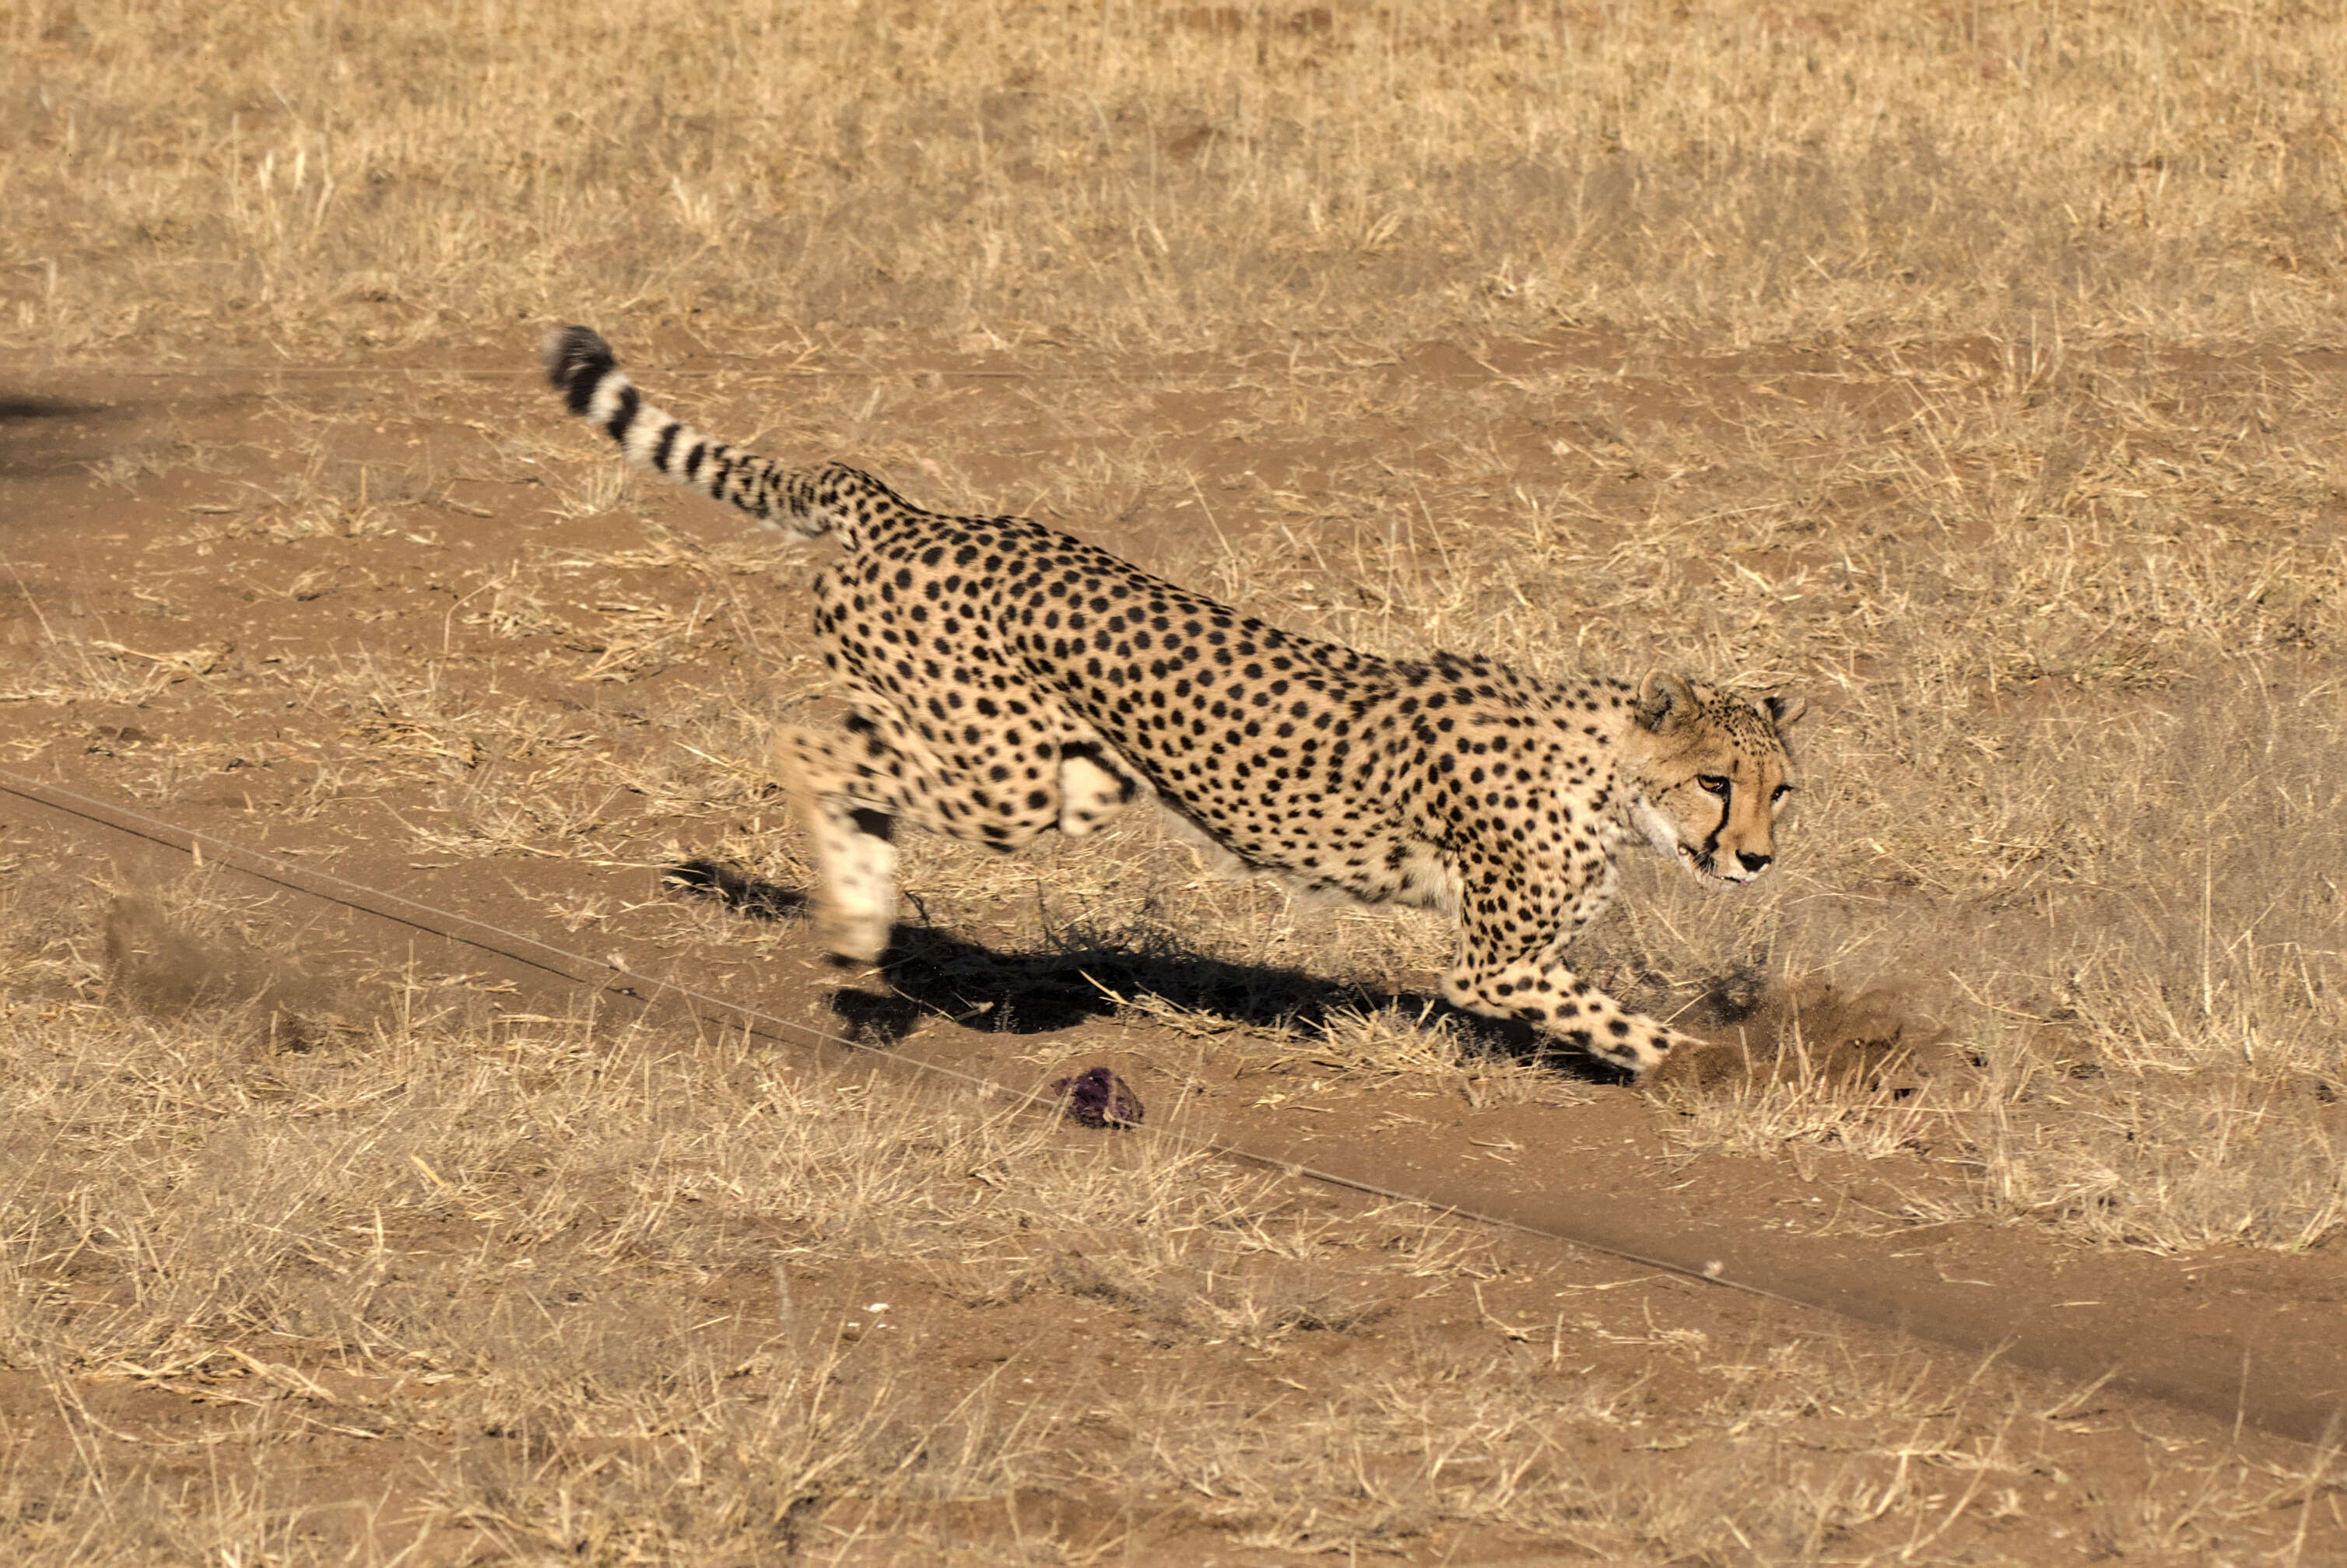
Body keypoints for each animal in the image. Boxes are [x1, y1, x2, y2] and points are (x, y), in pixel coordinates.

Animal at [539, 324, 1802, 1070]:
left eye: (1780, 790)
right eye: (1714, 782)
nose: (1755, 858)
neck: (1603, 768)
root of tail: (917, 511)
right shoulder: (1494, 963)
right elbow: (1623, 1025)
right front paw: (1717, 1073)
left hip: (1060, 774)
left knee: (857, 759)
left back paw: (864, 922)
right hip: (1004, 778)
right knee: (802, 741)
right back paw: (853, 920)